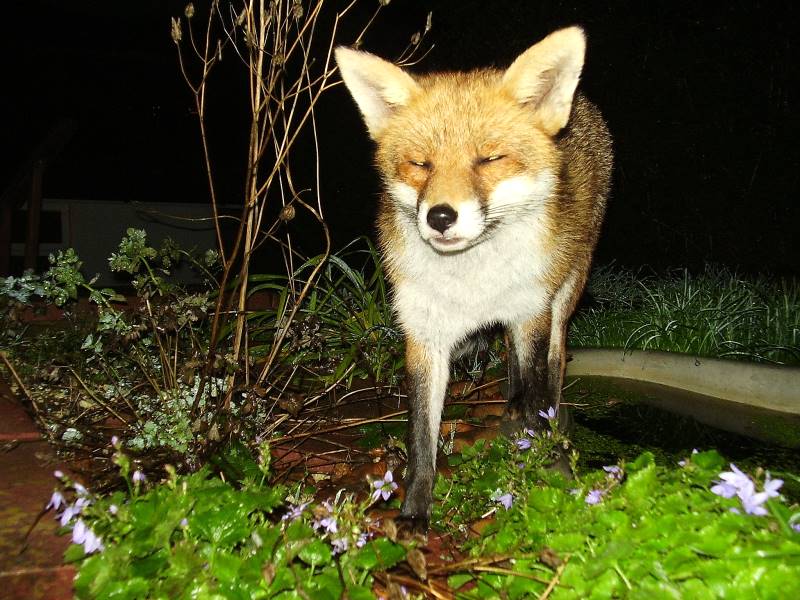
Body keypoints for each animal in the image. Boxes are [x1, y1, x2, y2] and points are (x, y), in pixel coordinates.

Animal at [335, 26, 613, 533]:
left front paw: (539, 463)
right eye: (420, 164)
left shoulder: (529, 313)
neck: (473, 285)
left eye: (489, 159)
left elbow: (533, 389)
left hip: (562, 298)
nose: (440, 217)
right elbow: (421, 438)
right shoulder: (425, 335)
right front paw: (415, 512)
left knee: (553, 367)